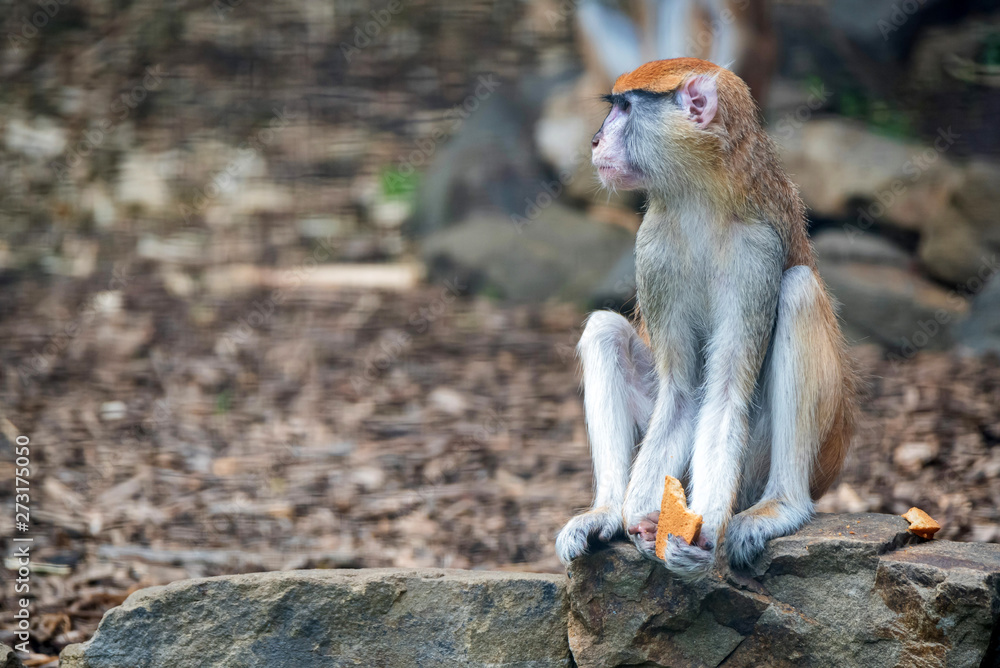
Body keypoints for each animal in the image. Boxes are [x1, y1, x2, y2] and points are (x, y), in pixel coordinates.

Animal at [555, 58, 859, 579]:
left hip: (786, 455)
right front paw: (638, 523)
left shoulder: (755, 252)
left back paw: (781, 506)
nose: (594, 141)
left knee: (798, 291)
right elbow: (679, 395)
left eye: (626, 108)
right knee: (603, 330)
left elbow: (724, 394)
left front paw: (705, 533)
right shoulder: (653, 248)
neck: (699, 196)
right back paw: (606, 510)